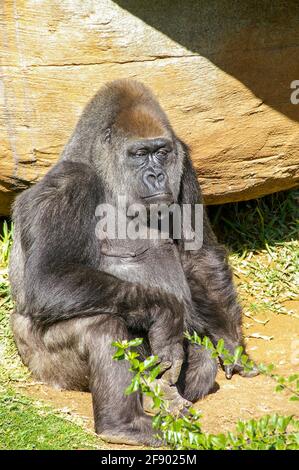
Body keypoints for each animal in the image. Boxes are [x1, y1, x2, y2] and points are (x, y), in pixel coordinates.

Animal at [8, 80, 258, 444]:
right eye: (139, 154)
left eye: (161, 152)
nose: (156, 175)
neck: (106, 175)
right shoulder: (67, 185)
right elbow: (47, 279)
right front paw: (164, 312)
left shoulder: (183, 160)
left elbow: (198, 258)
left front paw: (231, 343)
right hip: (43, 365)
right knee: (100, 325)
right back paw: (124, 425)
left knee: (199, 362)